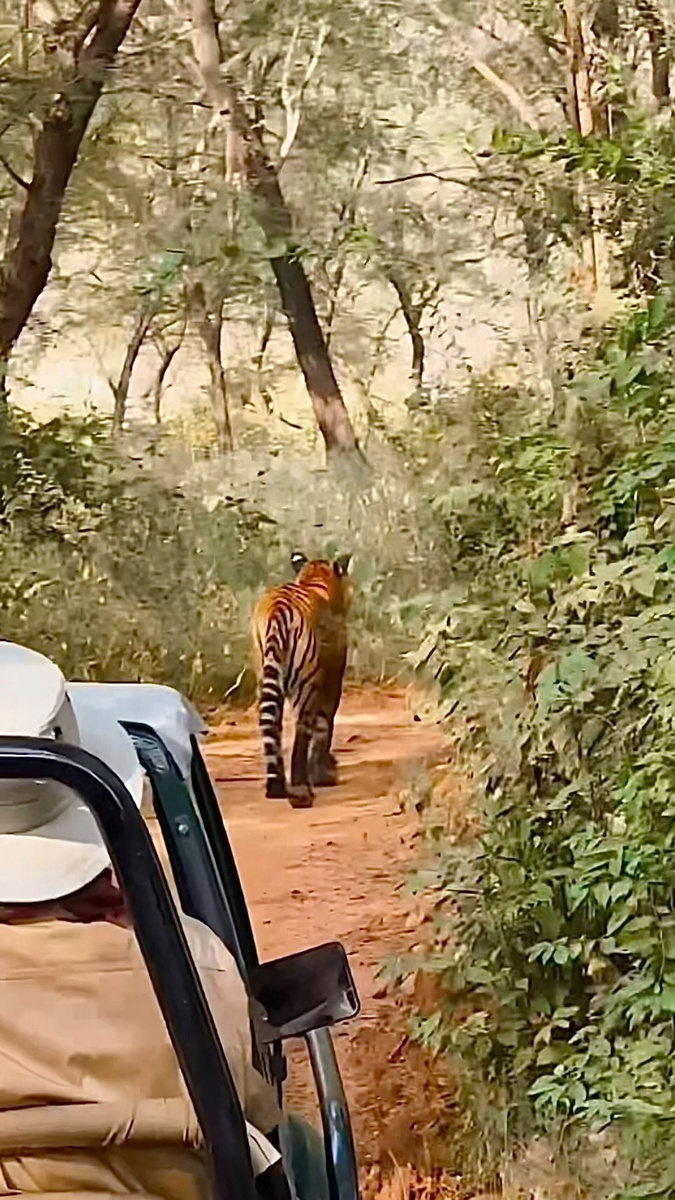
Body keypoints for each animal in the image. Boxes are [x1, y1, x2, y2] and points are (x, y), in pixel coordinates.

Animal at [251, 552, 353, 809]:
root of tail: (278, 610)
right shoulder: (332, 681)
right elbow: (325, 726)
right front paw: (324, 773)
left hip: (265, 675)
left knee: (271, 724)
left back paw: (276, 787)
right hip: (305, 684)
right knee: (301, 731)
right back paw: (300, 792)